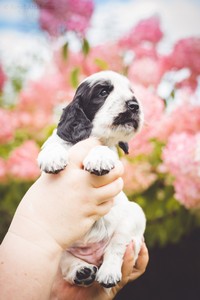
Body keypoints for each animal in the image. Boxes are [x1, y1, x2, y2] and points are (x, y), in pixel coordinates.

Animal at [37, 70, 145, 288]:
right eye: (103, 92)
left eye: (131, 92)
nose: (134, 105)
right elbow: (54, 143)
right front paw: (52, 157)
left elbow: (105, 148)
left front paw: (99, 158)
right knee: (66, 261)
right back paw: (81, 271)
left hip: (133, 214)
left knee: (116, 247)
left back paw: (108, 273)